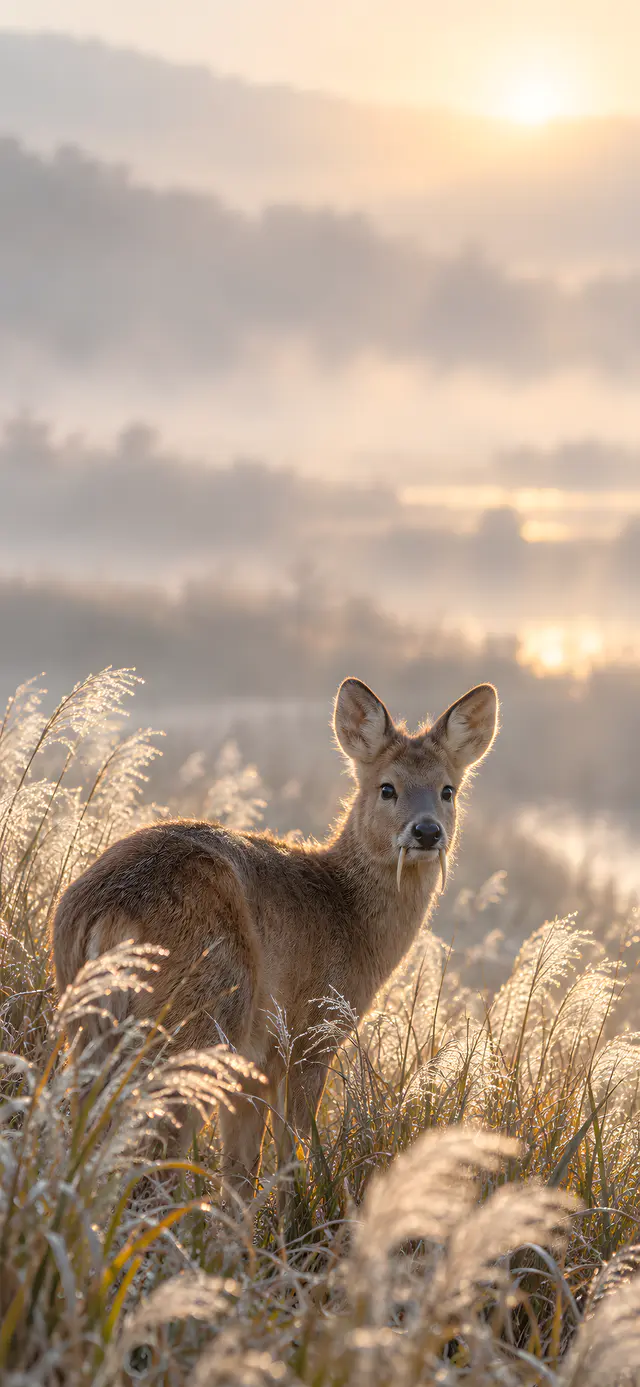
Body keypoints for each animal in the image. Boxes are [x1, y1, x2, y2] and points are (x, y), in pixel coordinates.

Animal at [52, 678, 498, 1197]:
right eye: (387, 787)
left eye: (448, 790)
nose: (427, 831)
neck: (348, 913)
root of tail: (107, 909)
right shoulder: (309, 1035)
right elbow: (293, 1153)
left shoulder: (256, 1065)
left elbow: (241, 1173)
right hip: (203, 1019)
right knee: (152, 1156)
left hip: (86, 1031)